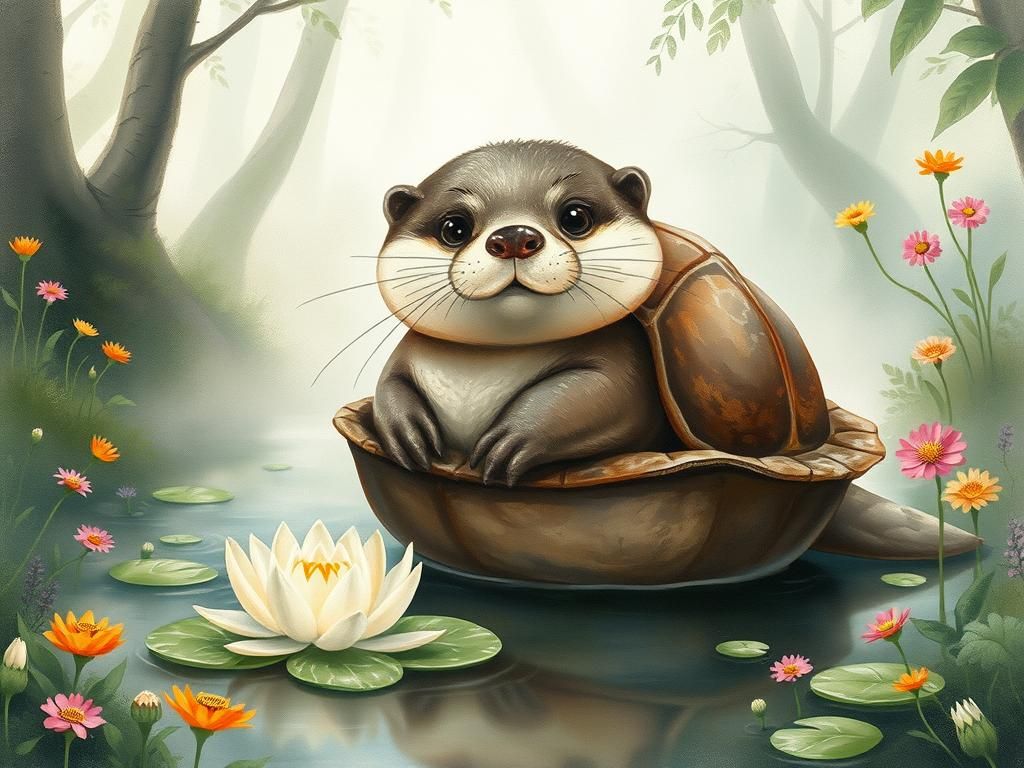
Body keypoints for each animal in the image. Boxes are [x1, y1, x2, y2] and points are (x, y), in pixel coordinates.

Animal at [373, 140, 678, 486]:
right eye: (454, 228)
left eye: (575, 217)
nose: (514, 238)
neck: (478, 375)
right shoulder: (404, 355)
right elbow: (387, 384)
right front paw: (406, 433)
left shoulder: (626, 365)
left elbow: (601, 395)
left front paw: (514, 437)